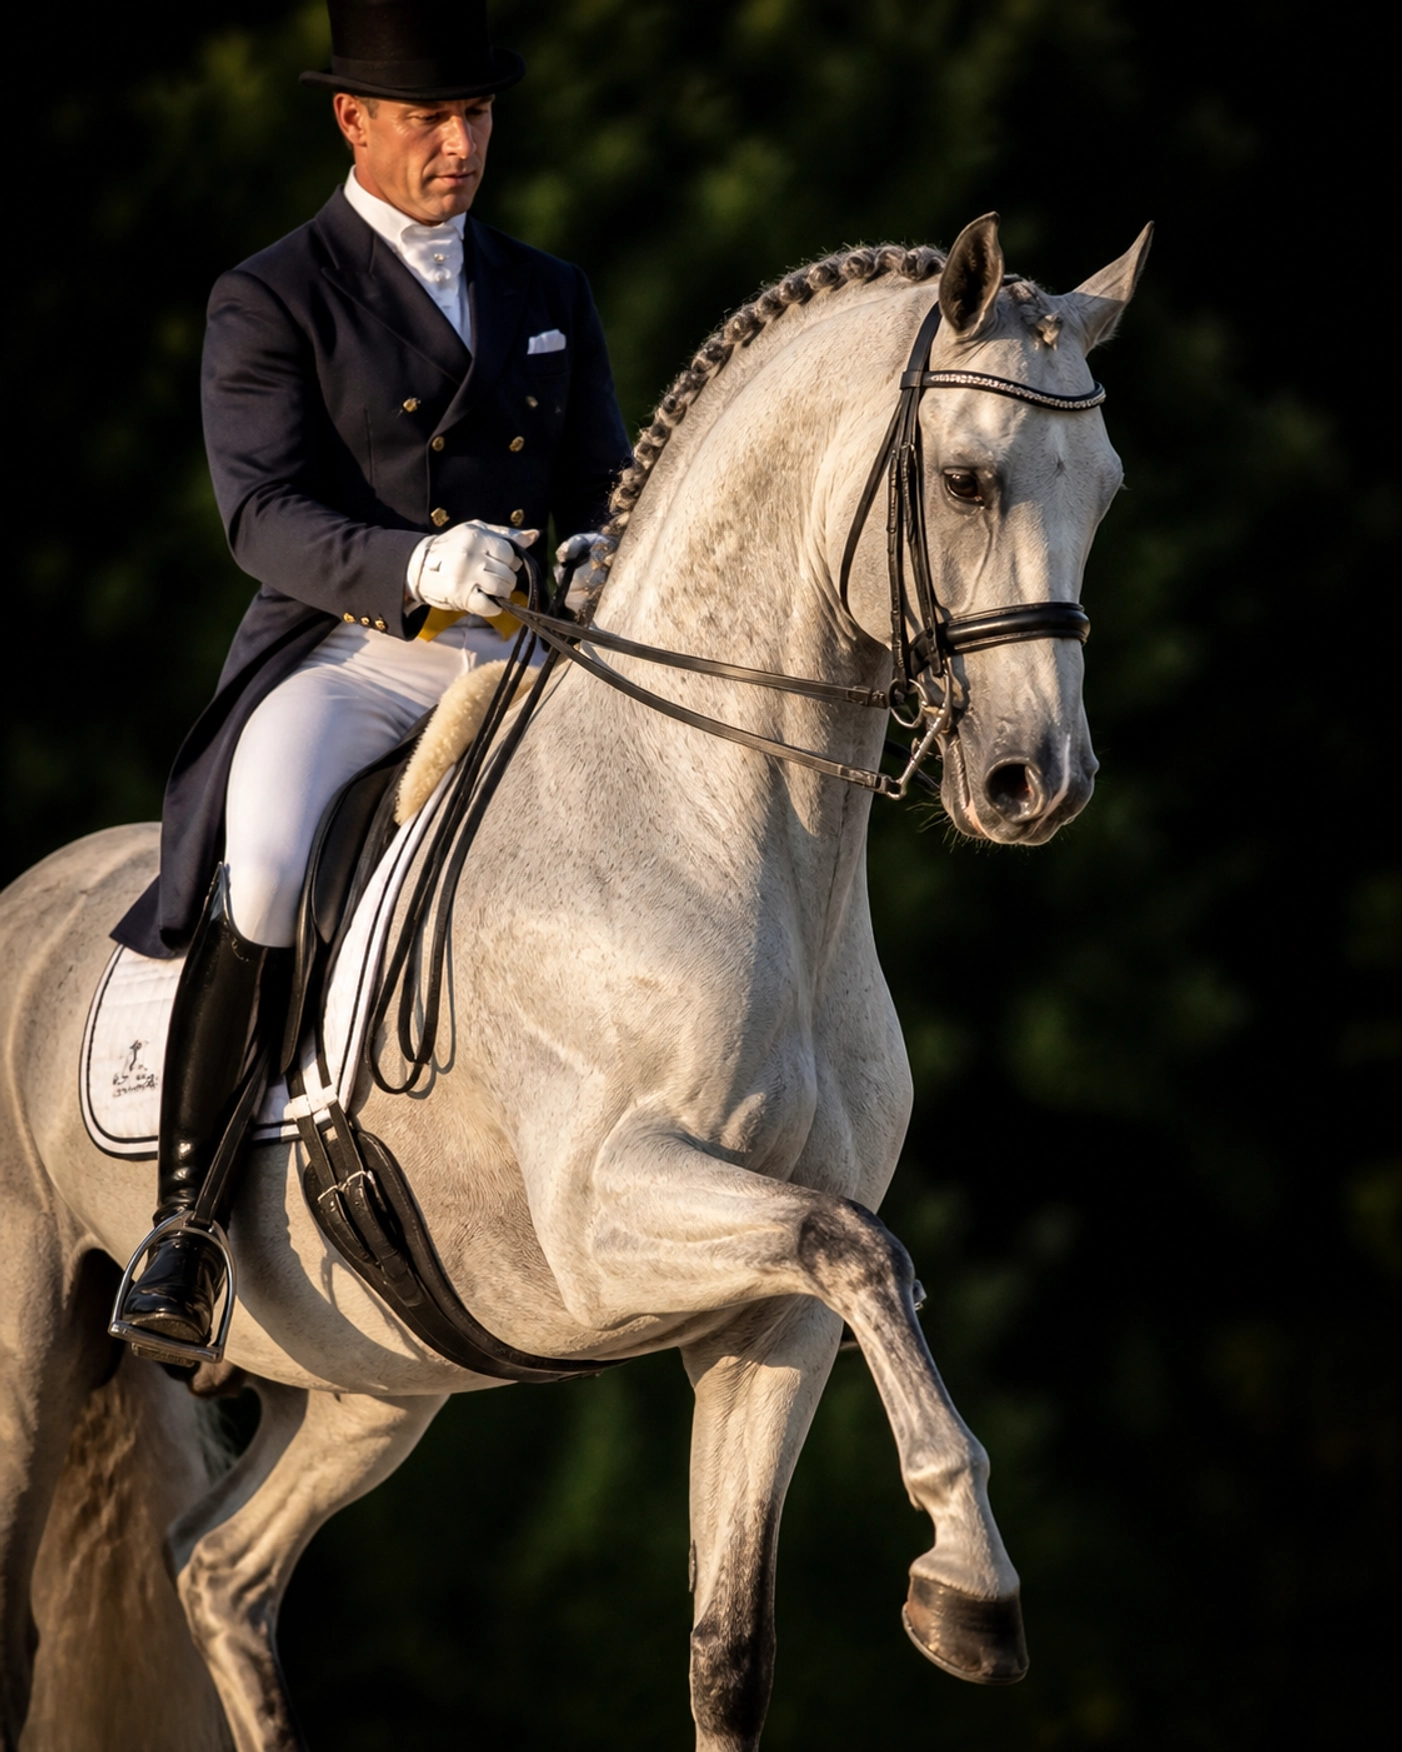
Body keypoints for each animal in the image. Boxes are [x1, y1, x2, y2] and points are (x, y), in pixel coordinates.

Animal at [0, 212, 1149, 1752]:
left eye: (1106, 490)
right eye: (966, 480)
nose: (1039, 783)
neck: (719, 829)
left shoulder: (770, 1315)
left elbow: (731, 1643)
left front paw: (949, 1585)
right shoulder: (606, 1225)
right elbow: (867, 1247)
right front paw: (968, 1590)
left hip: (367, 1374)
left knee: (220, 1575)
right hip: (37, 1337)